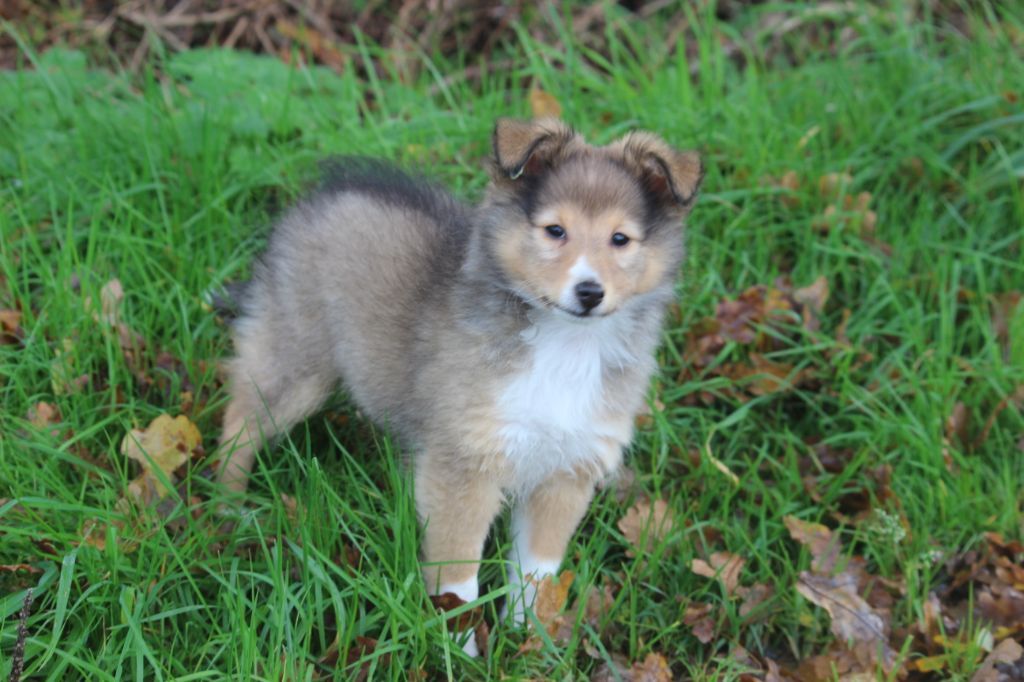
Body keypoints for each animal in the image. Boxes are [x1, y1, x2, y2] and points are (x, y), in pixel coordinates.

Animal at [212, 118, 700, 655]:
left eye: (620, 239)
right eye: (555, 230)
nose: (590, 292)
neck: (565, 344)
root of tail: (318, 198)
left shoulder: (565, 472)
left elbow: (536, 571)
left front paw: (525, 643)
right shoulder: (465, 466)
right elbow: (458, 577)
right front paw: (461, 651)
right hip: (296, 362)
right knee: (240, 419)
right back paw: (229, 508)